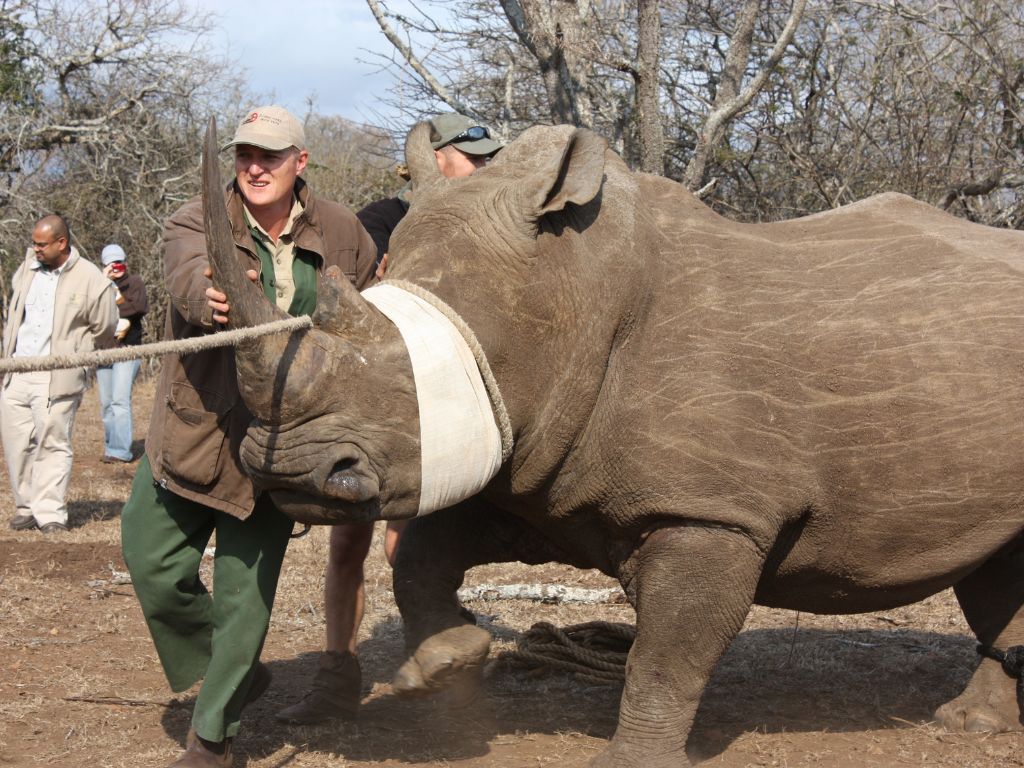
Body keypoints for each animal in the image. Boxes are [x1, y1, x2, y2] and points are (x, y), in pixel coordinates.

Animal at [202, 118, 1024, 767]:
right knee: (997, 569)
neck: (572, 288)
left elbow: (668, 653)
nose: (292, 475)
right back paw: (971, 724)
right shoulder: (533, 466)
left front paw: (632, 759)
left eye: (417, 376)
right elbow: (424, 561)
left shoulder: (713, 510)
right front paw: (445, 664)